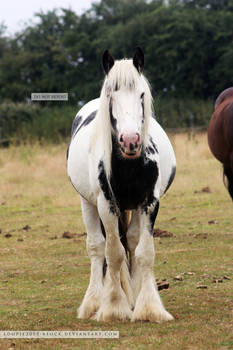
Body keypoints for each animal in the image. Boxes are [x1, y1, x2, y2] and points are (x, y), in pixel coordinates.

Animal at [67, 47, 177, 322]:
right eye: (110, 94)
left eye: (141, 94)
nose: (130, 141)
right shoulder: (107, 205)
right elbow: (114, 254)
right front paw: (114, 307)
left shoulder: (150, 202)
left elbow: (144, 253)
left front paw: (149, 308)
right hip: (88, 204)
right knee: (97, 248)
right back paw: (94, 302)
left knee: (133, 242)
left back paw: (133, 297)